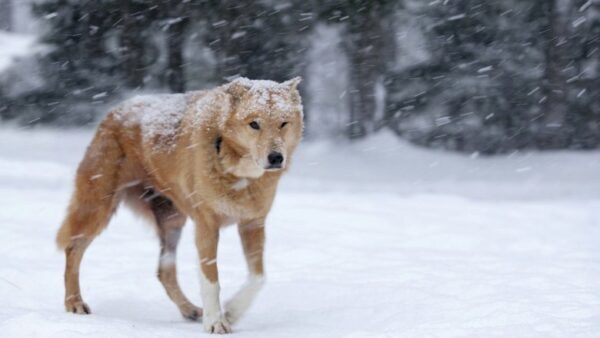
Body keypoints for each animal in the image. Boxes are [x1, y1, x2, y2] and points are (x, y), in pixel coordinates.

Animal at [56, 76, 304, 332]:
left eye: (283, 123)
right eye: (254, 124)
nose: (276, 158)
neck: (238, 173)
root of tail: (115, 110)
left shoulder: (253, 223)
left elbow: (258, 277)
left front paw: (231, 312)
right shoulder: (206, 225)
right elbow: (211, 279)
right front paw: (215, 322)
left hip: (172, 221)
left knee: (164, 271)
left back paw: (189, 310)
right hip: (98, 208)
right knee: (73, 250)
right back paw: (74, 303)